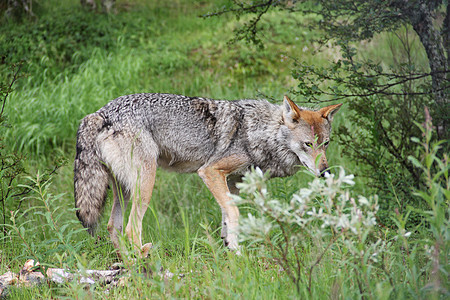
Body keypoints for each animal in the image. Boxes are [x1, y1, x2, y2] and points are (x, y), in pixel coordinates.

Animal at [74, 94, 342, 258]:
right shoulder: (210, 172)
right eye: (308, 144)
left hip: (124, 190)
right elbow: (234, 213)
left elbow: (226, 216)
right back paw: (144, 259)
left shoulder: (233, 182)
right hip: (146, 185)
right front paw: (237, 253)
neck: (259, 132)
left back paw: (129, 262)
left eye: (326, 144)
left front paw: (227, 248)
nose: (325, 172)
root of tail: (99, 113)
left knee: (113, 226)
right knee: (130, 228)